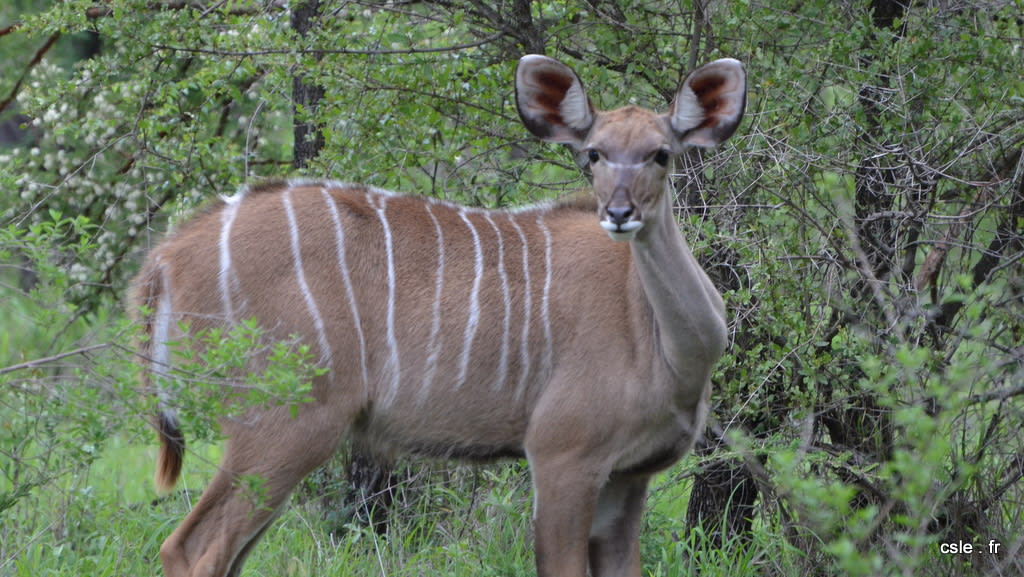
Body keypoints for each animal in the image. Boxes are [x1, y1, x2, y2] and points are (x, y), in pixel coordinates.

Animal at [136, 55, 745, 577]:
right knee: (190, 547)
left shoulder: (628, 475)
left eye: (660, 153)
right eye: (593, 152)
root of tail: (166, 257)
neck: (663, 341)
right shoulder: (563, 455)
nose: (619, 213)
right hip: (282, 425)